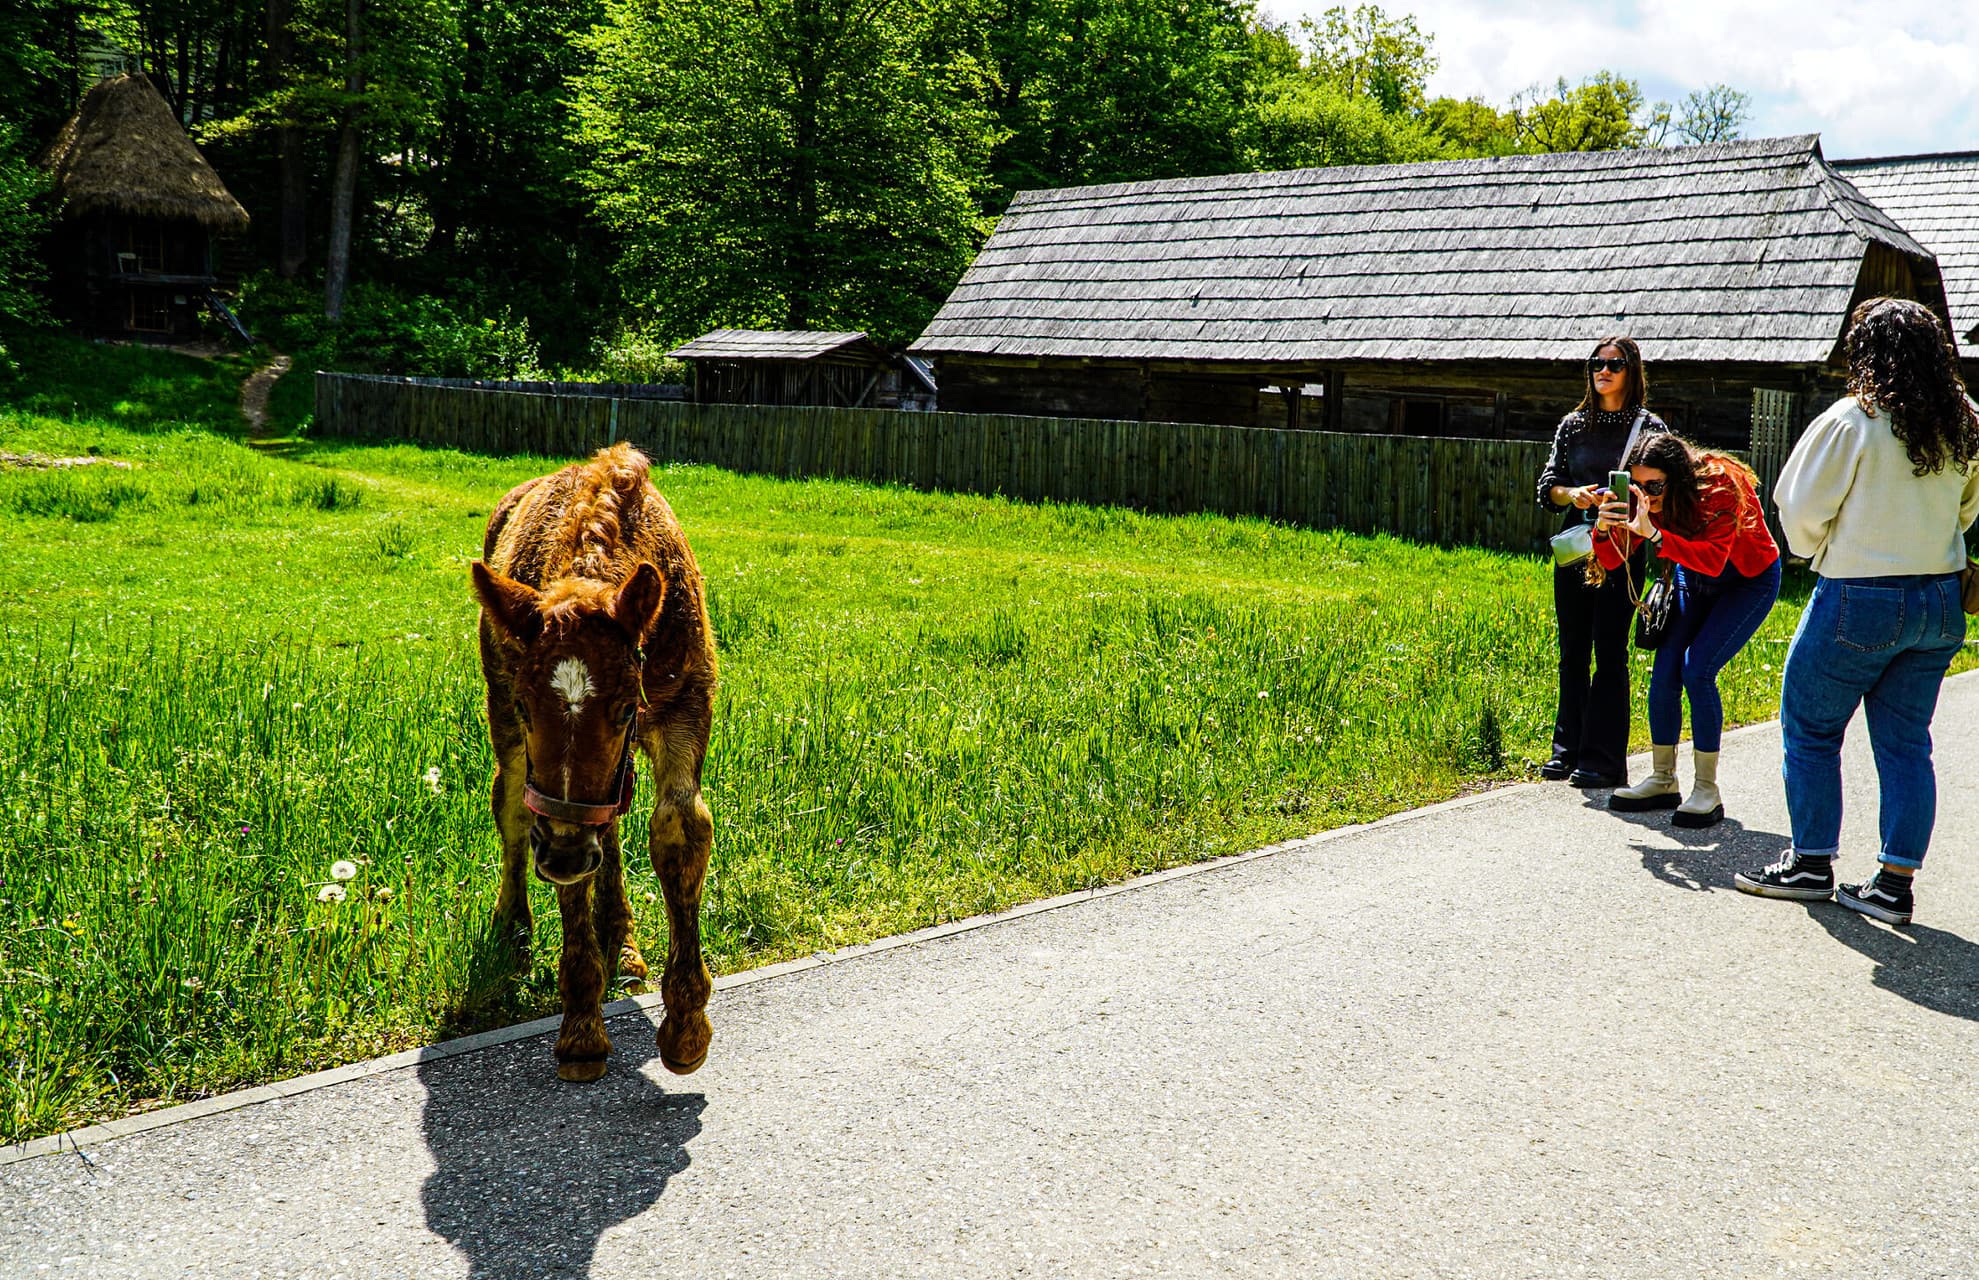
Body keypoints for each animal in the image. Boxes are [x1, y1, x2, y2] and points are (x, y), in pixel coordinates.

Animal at [471, 443, 720, 1084]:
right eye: (529, 705)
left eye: (625, 704)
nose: (559, 855)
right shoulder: (548, 788)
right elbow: (559, 853)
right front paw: (581, 1027)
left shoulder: (684, 709)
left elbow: (679, 831)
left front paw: (686, 1026)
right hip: (502, 730)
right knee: (513, 811)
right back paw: (514, 926)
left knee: (607, 827)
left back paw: (622, 941)